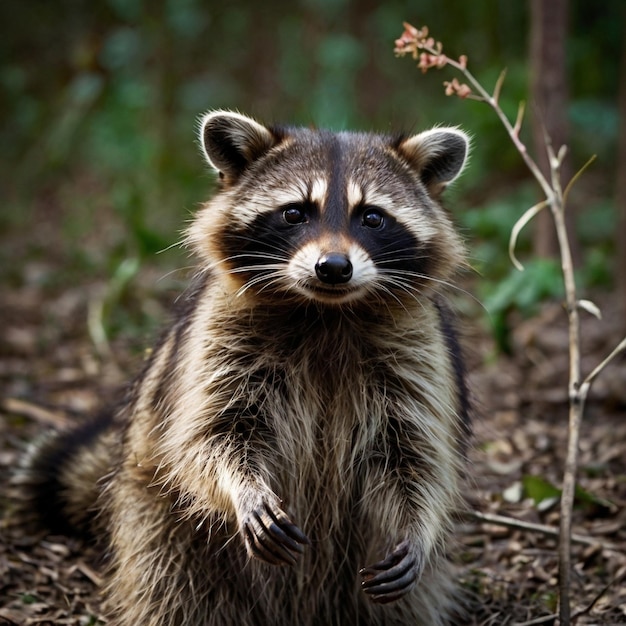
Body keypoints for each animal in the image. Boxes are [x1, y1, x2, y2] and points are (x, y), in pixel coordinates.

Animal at [18, 111, 468, 624]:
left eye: (372, 216)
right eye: (295, 212)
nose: (333, 267)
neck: (326, 311)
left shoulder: (417, 350)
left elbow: (415, 453)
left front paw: (419, 523)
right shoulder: (217, 336)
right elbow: (208, 435)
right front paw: (243, 489)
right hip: (158, 520)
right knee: (171, 579)